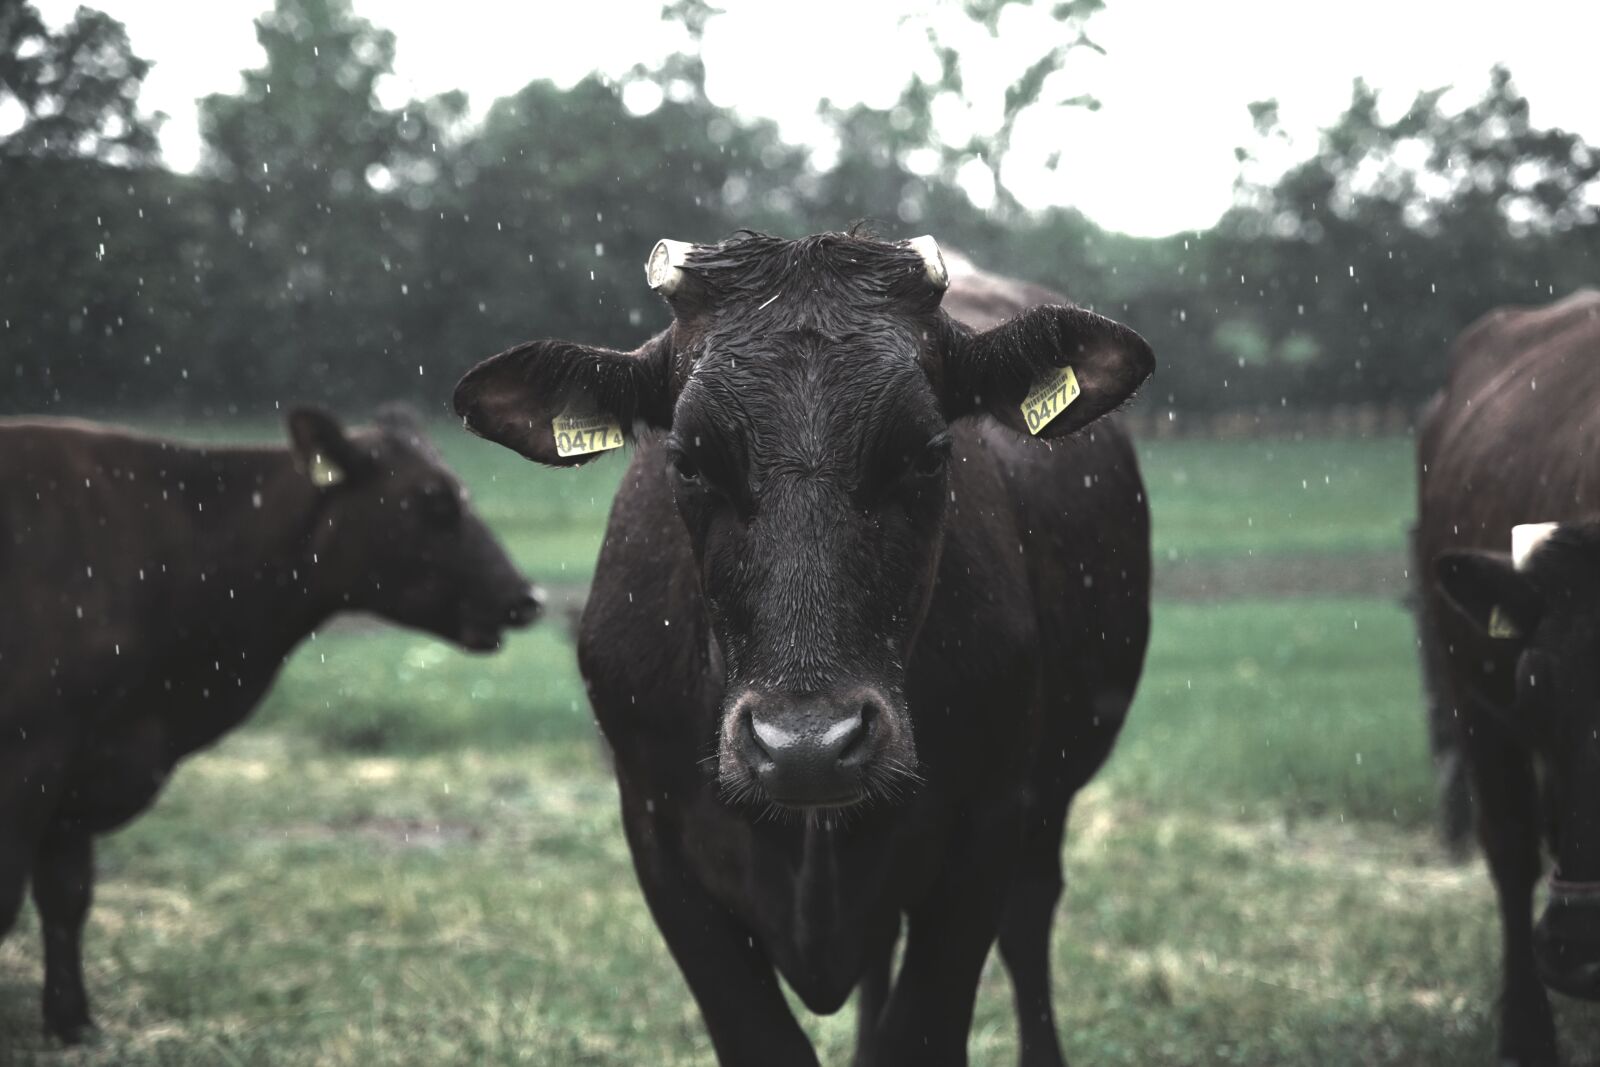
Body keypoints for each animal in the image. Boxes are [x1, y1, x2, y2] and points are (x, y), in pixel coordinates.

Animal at [0, 407, 541, 1044]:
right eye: (429, 501)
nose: (527, 597)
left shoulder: (81, 764)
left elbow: (67, 895)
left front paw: (73, 1023)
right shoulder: (31, 752)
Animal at [454, 231, 1154, 1066]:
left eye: (928, 452)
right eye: (688, 459)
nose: (808, 746)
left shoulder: (988, 824)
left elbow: (922, 1029)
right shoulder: (657, 836)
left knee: (1028, 918)